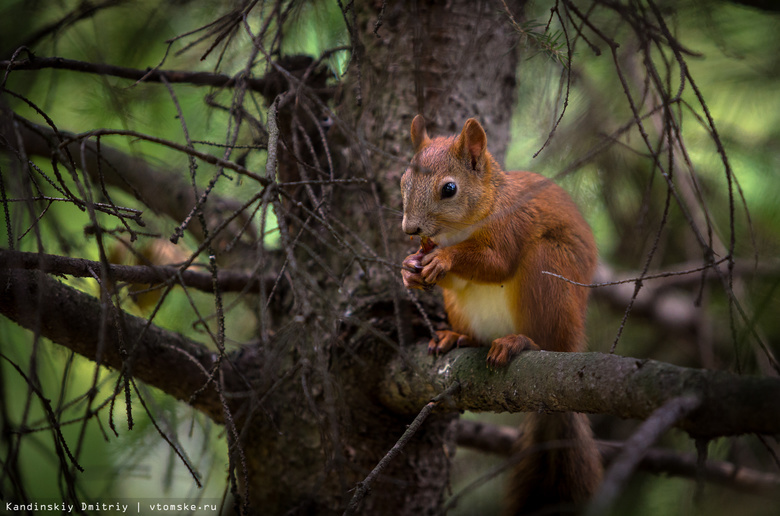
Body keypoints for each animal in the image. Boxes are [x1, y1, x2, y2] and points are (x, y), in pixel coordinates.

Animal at [400, 115, 600, 512]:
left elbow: (496, 263)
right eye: (403, 180)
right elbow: (451, 278)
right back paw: (456, 336)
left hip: (547, 272)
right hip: (461, 308)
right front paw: (409, 269)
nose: (410, 229)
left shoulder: (511, 226)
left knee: (546, 339)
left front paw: (445, 259)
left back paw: (518, 342)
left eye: (449, 188)